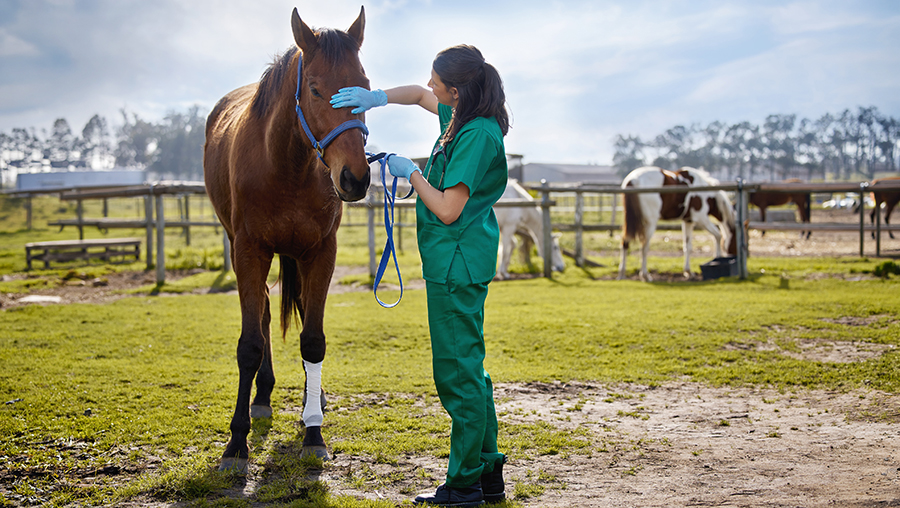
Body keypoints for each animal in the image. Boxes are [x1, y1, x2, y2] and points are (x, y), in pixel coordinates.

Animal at [203, 7, 370, 472]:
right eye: (315, 89)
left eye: (365, 85)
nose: (355, 177)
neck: (286, 166)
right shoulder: (248, 250)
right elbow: (250, 344)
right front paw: (236, 443)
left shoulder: (322, 253)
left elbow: (313, 340)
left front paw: (314, 433)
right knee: (260, 312)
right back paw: (261, 397)